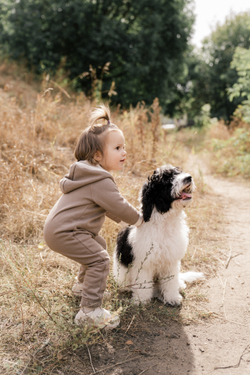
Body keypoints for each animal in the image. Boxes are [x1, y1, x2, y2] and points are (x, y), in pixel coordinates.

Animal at [113, 166, 203, 306]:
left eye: (180, 172)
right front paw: (141, 300)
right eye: (167, 179)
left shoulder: (171, 262)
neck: (164, 222)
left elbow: (171, 282)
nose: (189, 177)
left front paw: (172, 298)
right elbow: (143, 283)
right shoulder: (143, 263)